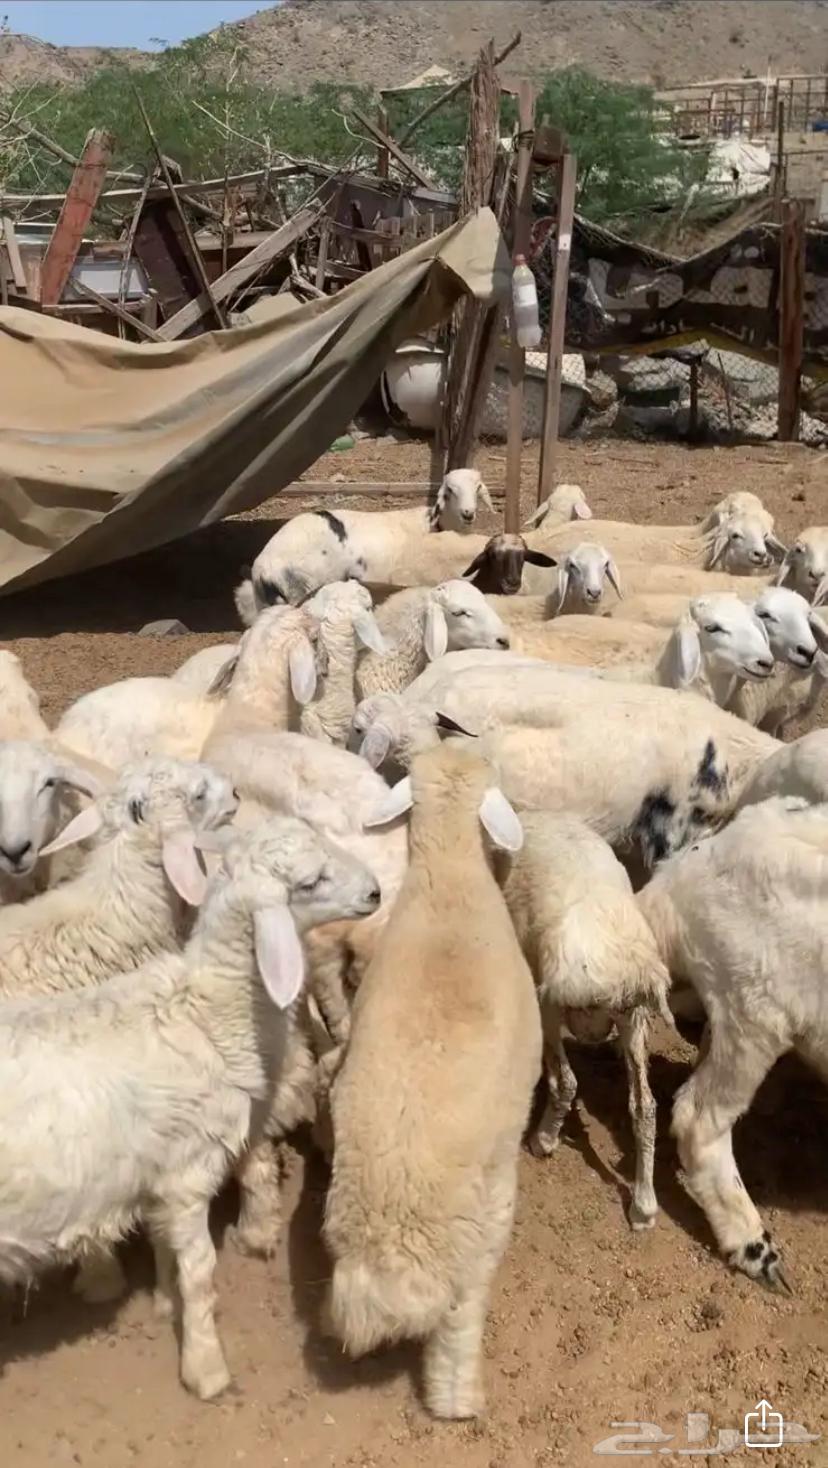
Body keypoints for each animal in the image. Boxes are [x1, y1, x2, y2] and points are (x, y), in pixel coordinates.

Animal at [0, 816, 380, 1399]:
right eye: (310, 881)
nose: (376, 892)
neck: (210, 1012)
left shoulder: (159, 1176)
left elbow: (162, 1245)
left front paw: (164, 1303)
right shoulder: (188, 1173)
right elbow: (199, 1268)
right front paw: (206, 1365)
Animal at [494, 812, 671, 1230]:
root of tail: (631, 972)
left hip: (552, 1002)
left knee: (566, 1081)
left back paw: (543, 1138)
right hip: (633, 1019)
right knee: (645, 1107)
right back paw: (644, 1205)